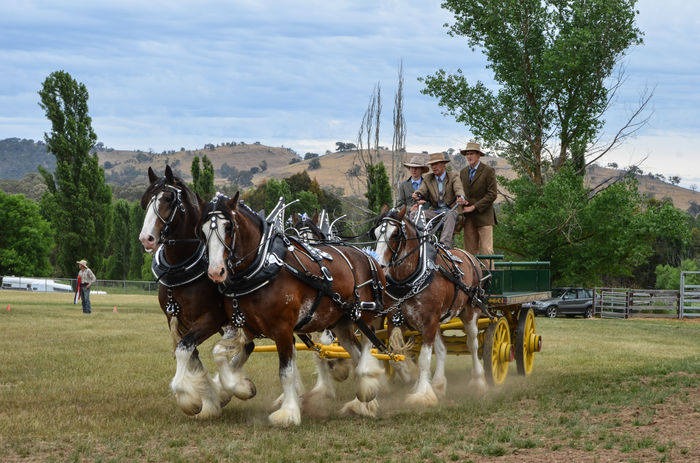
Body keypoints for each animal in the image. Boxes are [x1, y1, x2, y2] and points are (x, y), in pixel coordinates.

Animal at [138, 168, 256, 420]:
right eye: (146, 200)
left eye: (168, 198)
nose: (146, 238)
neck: (183, 266)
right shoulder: (177, 320)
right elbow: (191, 353)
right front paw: (209, 397)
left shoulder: (210, 319)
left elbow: (184, 349)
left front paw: (192, 398)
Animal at [200, 193, 388, 428]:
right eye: (202, 230)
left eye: (228, 227)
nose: (216, 272)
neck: (264, 267)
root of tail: (369, 257)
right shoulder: (245, 325)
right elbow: (218, 353)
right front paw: (240, 387)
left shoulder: (282, 328)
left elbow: (286, 371)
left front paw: (288, 412)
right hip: (341, 323)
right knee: (356, 353)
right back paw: (364, 401)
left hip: (363, 315)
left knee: (368, 348)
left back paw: (367, 385)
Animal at [372, 205, 486, 404]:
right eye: (376, 232)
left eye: (396, 234)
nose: (380, 265)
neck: (409, 280)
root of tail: (469, 255)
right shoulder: (395, 319)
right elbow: (394, 356)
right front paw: (410, 375)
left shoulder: (429, 321)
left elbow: (424, 359)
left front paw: (421, 394)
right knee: (442, 349)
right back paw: (438, 384)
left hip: (470, 312)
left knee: (472, 344)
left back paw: (478, 381)